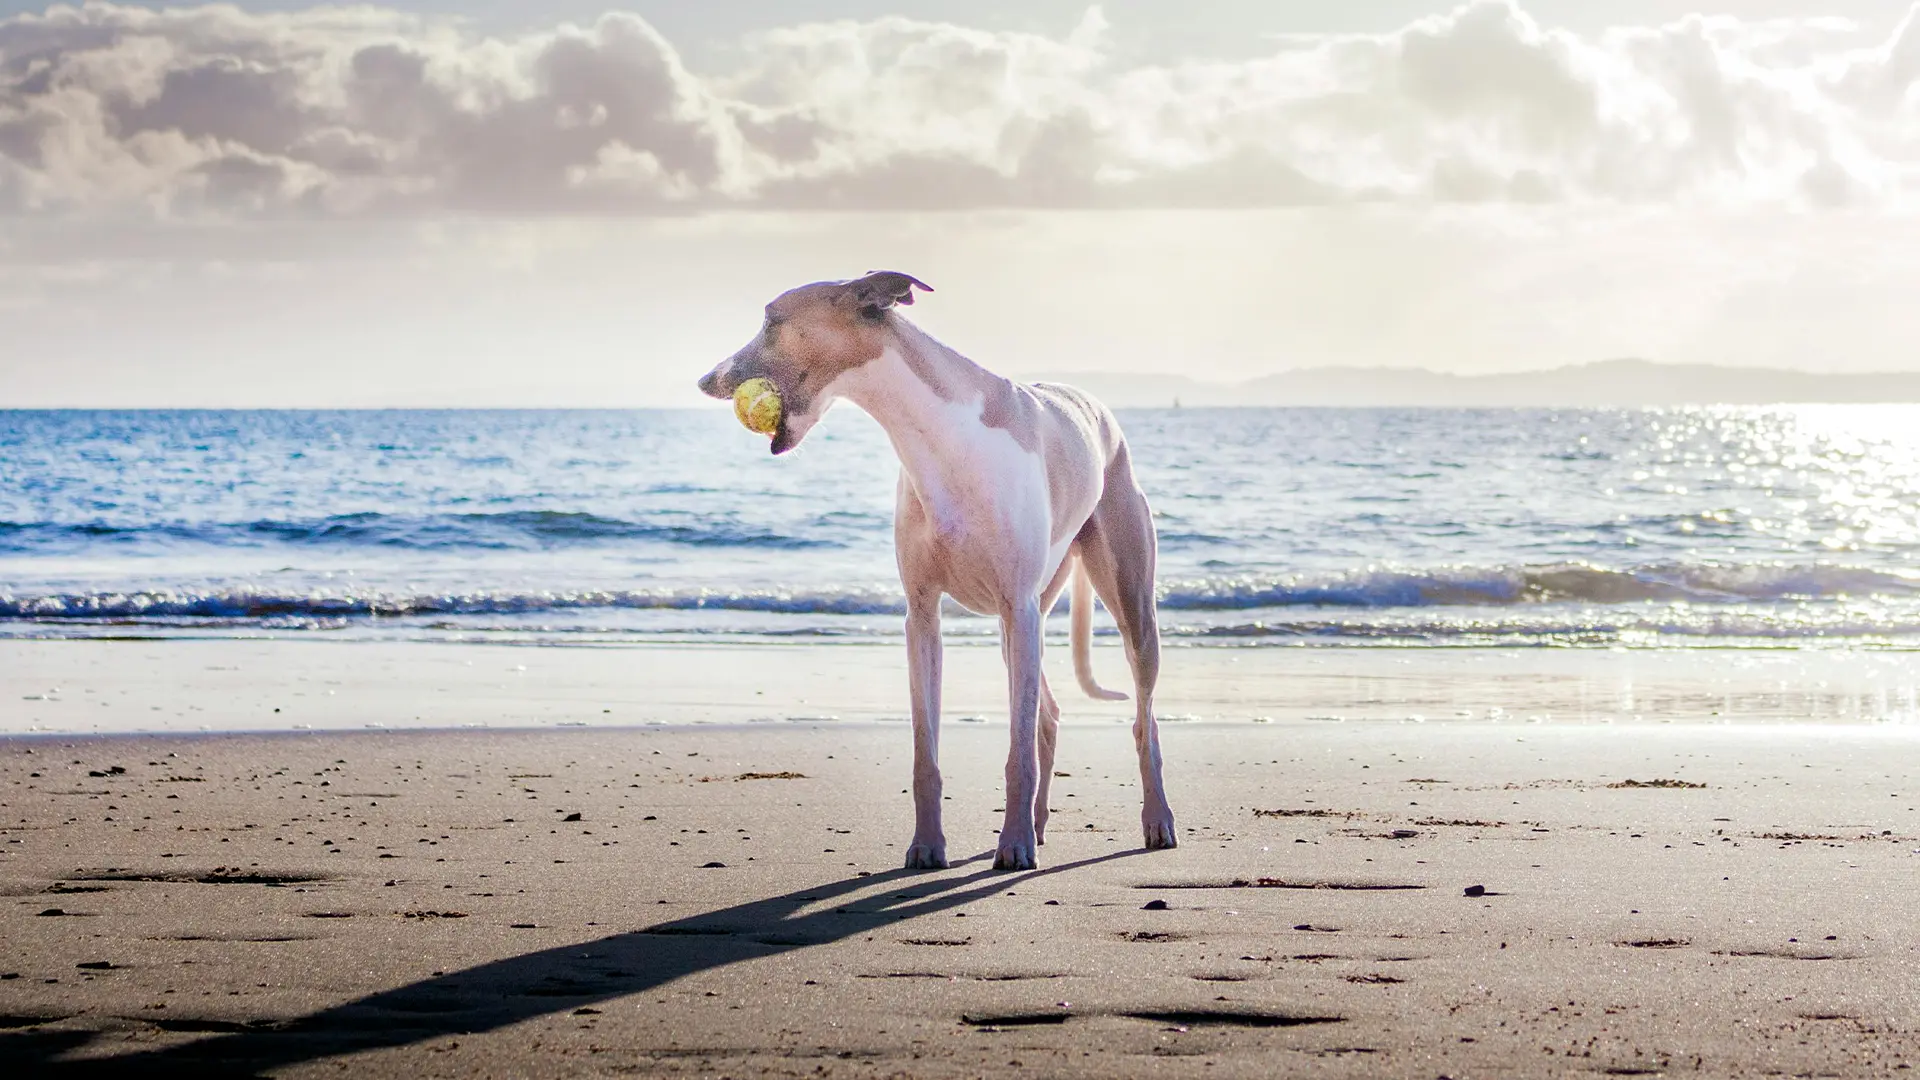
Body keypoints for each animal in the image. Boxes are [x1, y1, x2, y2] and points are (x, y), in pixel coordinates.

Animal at [698, 269, 1175, 864]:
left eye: (770, 320)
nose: (705, 380)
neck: (940, 437)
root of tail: (1095, 408)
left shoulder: (1016, 605)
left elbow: (1017, 753)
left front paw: (1012, 845)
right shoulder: (923, 615)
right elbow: (926, 751)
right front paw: (927, 846)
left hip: (1123, 606)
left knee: (1142, 721)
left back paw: (1154, 820)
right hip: (1021, 627)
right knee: (1047, 716)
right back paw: (1039, 822)